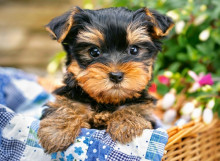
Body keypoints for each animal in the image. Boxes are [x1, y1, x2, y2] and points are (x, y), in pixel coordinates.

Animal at [37, 6, 174, 153]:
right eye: (94, 52)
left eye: (134, 50)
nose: (116, 75)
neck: (107, 101)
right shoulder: (69, 97)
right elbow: (65, 106)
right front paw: (57, 131)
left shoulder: (145, 110)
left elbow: (135, 108)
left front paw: (126, 123)